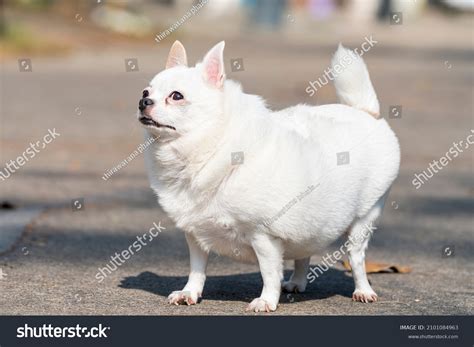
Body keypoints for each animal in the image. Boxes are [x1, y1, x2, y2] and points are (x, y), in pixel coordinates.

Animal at [138, 40, 400, 312]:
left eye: (176, 96)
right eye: (146, 92)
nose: (143, 102)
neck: (211, 146)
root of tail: (364, 111)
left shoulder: (263, 236)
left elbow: (270, 273)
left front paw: (266, 300)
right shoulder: (196, 235)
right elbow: (197, 268)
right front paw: (190, 292)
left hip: (363, 221)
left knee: (356, 258)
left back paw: (363, 290)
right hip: (309, 221)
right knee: (303, 254)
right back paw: (297, 282)